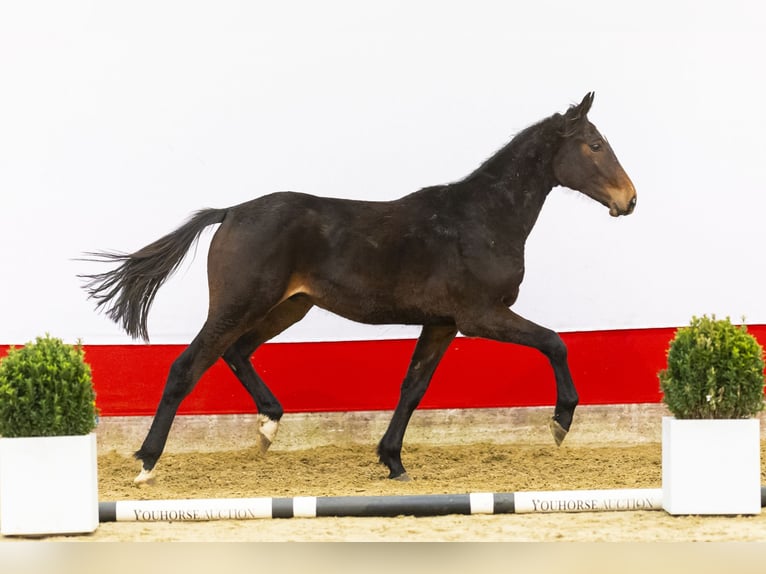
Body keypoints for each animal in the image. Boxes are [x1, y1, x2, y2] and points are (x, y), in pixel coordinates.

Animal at [81, 93, 640, 486]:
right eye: (594, 145)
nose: (630, 200)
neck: (480, 219)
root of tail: (231, 212)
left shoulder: (441, 323)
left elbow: (413, 387)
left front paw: (392, 461)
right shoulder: (480, 315)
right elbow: (554, 342)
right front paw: (561, 422)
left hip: (288, 307)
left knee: (235, 352)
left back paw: (268, 427)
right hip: (240, 303)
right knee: (186, 365)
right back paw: (147, 463)